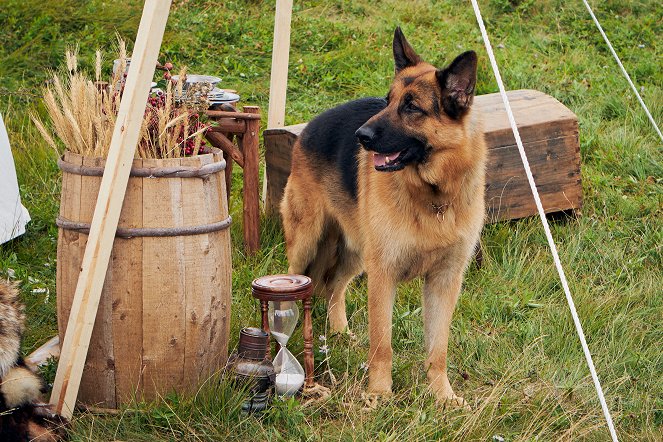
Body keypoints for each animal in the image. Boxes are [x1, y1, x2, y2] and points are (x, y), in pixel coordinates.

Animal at [280, 27, 488, 406]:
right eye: (387, 100)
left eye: (412, 107)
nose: (360, 137)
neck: (433, 198)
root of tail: (310, 126)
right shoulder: (383, 276)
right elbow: (382, 344)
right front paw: (379, 394)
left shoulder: (444, 282)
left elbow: (438, 349)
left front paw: (442, 396)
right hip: (307, 243)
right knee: (299, 281)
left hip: (357, 253)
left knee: (334, 286)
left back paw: (340, 333)